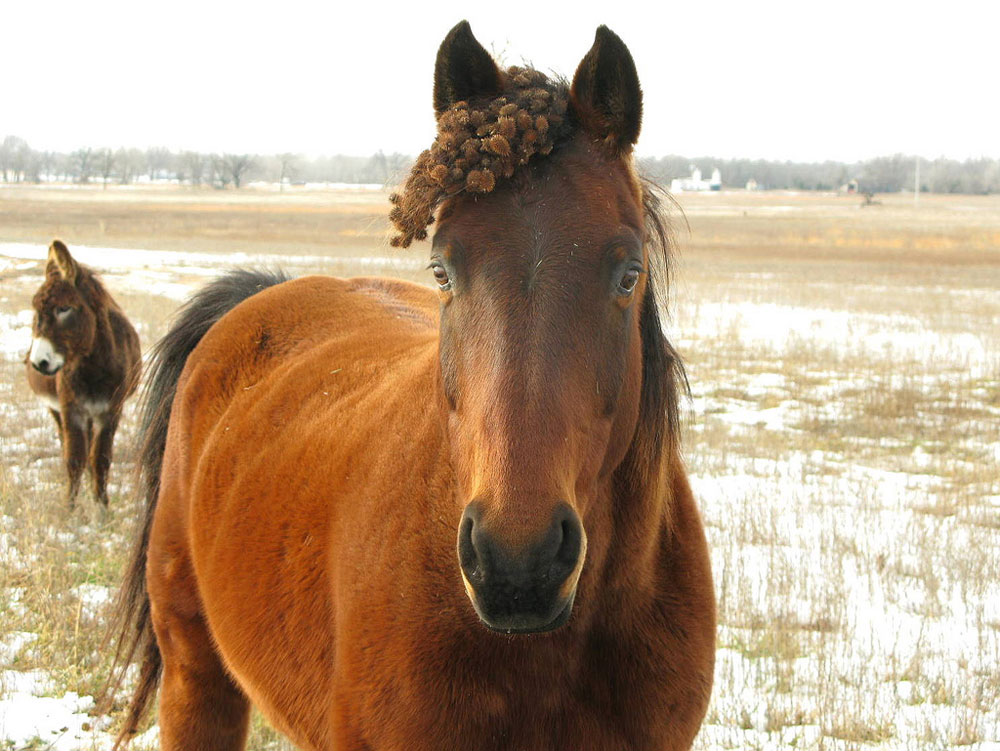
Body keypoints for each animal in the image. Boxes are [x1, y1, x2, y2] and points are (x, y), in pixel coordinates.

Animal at [27, 241, 141, 508]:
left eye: (64, 309)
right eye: (35, 311)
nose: (38, 363)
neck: (93, 368)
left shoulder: (110, 411)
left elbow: (100, 458)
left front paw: (101, 505)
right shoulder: (72, 409)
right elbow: (74, 459)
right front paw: (70, 507)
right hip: (56, 409)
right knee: (65, 442)